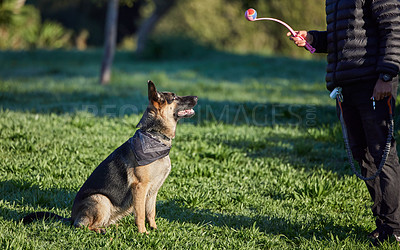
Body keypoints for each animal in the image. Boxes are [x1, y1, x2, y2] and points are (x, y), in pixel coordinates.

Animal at [22, 81, 198, 233]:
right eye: (174, 97)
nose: (196, 97)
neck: (155, 135)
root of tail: (72, 217)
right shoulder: (140, 188)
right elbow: (141, 214)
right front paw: (143, 233)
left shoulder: (152, 191)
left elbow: (150, 212)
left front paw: (154, 229)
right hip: (101, 199)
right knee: (82, 226)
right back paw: (99, 230)